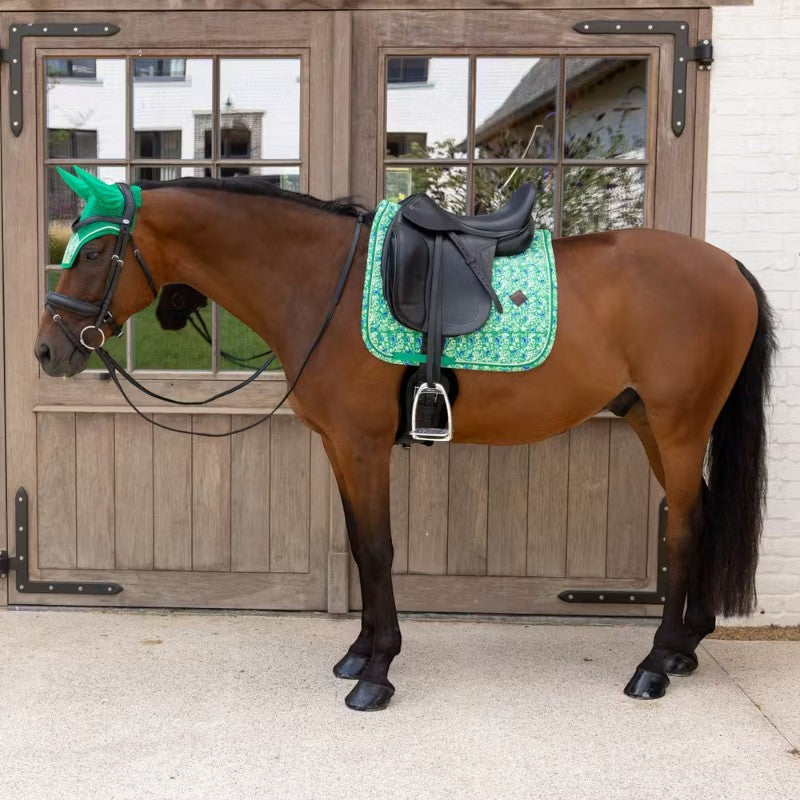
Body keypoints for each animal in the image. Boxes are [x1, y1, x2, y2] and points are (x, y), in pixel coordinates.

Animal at [35, 170, 776, 712]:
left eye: (95, 252)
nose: (46, 350)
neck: (318, 284)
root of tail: (728, 266)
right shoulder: (340, 446)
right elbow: (361, 548)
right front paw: (358, 654)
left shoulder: (362, 444)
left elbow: (377, 549)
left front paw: (378, 673)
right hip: (649, 420)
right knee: (704, 514)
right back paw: (685, 646)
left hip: (679, 426)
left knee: (683, 529)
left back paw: (654, 665)